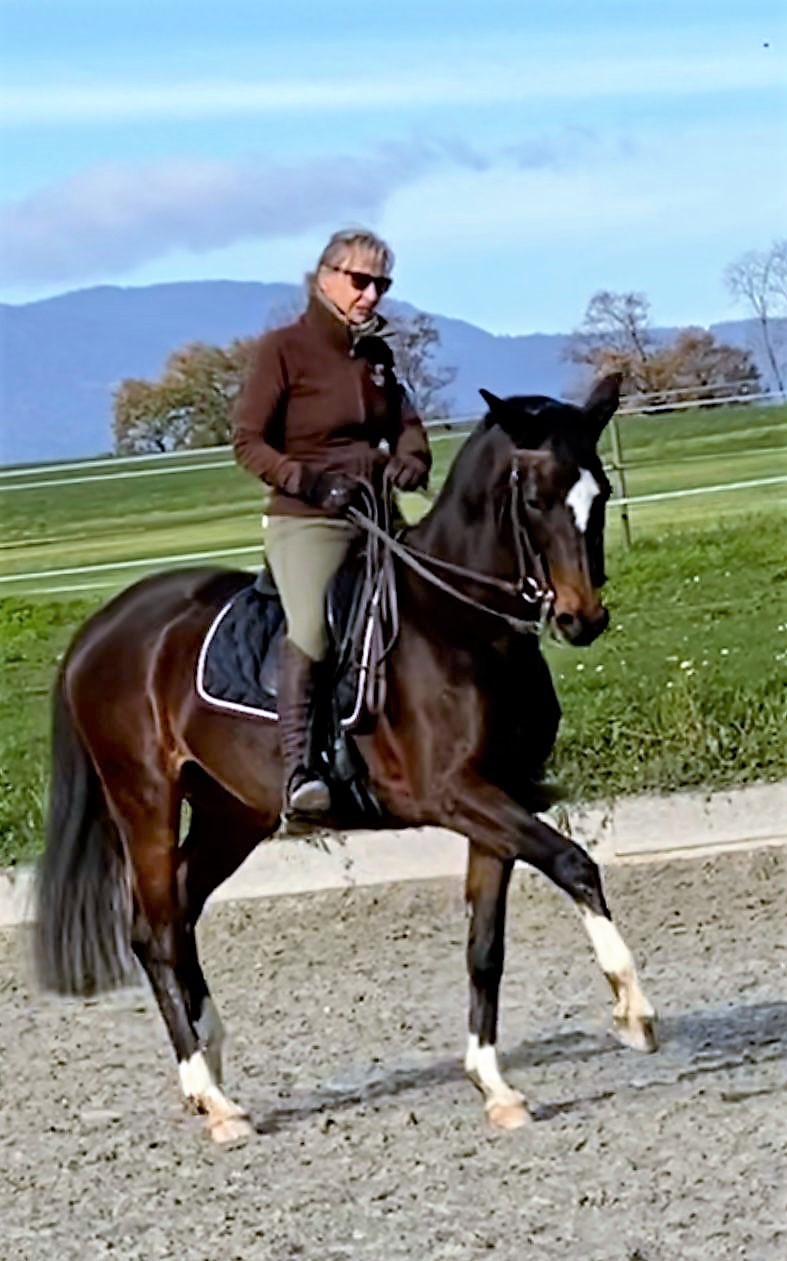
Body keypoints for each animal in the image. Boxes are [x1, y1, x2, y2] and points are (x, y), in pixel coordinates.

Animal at [33, 370, 655, 1144]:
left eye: (599, 491)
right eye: (535, 498)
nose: (582, 618)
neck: (460, 625)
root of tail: (100, 629)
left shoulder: (496, 802)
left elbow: (485, 946)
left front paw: (495, 1086)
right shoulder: (453, 793)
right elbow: (575, 864)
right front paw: (633, 1011)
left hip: (231, 813)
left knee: (181, 911)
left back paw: (211, 1060)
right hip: (143, 799)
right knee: (155, 929)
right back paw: (214, 1099)